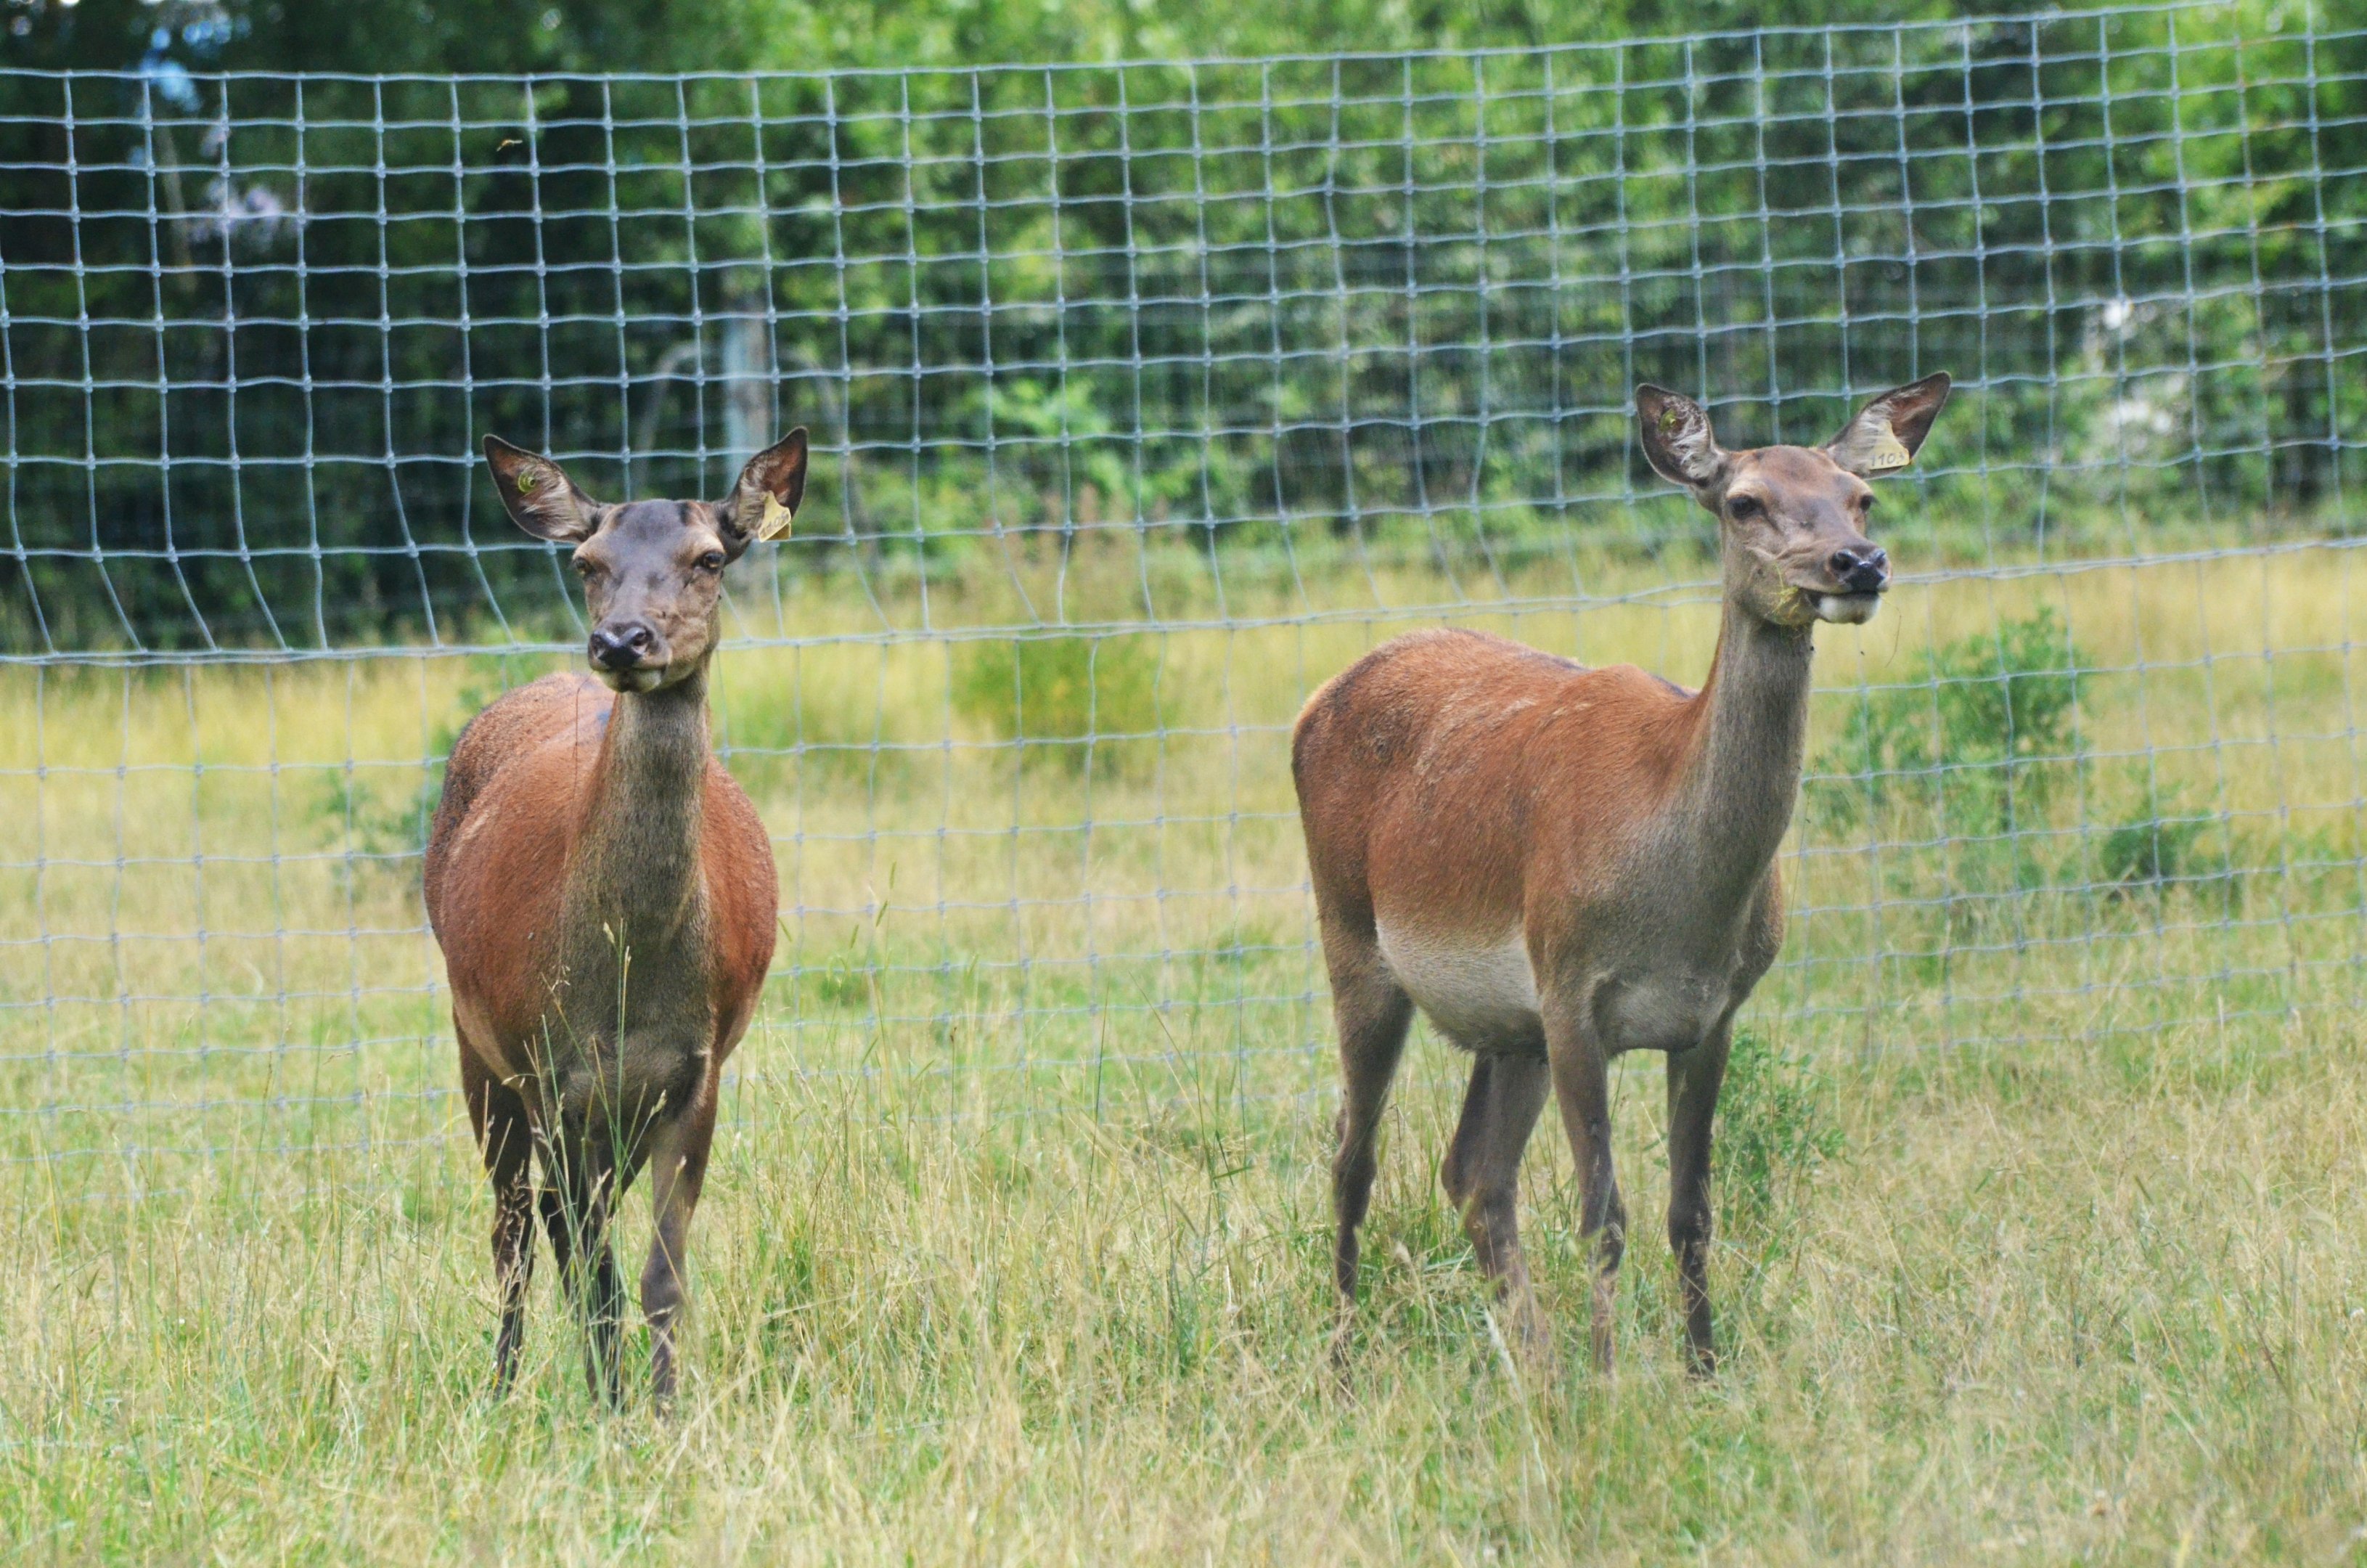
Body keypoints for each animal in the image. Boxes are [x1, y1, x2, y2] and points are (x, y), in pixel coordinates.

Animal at [423, 427, 803, 1409]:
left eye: (710, 558)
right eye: (587, 563)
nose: (622, 640)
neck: (631, 982)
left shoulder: (696, 1071)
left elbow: (661, 1276)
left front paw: (659, 1410)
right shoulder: (547, 1066)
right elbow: (589, 1270)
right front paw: (609, 1406)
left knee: (558, 1223)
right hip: (476, 1042)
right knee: (516, 1228)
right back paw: (504, 1385)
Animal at [1293, 375, 1950, 1376]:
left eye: (1861, 497)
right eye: (1743, 501)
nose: (1858, 564)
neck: (1682, 900)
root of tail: (1315, 702)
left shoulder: (1714, 1014)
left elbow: (1693, 1211)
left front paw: (1704, 1373)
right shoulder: (1571, 990)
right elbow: (1603, 1214)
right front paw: (1612, 1382)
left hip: (1506, 1025)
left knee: (1473, 1171)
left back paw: (1535, 1364)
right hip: (1356, 940)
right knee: (1350, 1155)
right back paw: (1342, 1361)